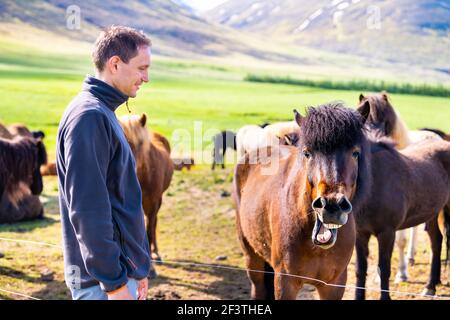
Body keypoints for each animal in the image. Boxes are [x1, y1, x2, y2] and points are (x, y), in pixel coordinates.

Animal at [118, 114, 174, 278]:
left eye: (141, 142)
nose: (129, 167)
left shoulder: (153, 203)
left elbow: (149, 231)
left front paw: (150, 267)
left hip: (158, 201)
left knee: (154, 224)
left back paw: (156, 253)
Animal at [232, 103, 370, 300]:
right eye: (307, 153)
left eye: (355, 153)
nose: (331, 206)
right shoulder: (285, 282)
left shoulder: (334, 285)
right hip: (251, 256)